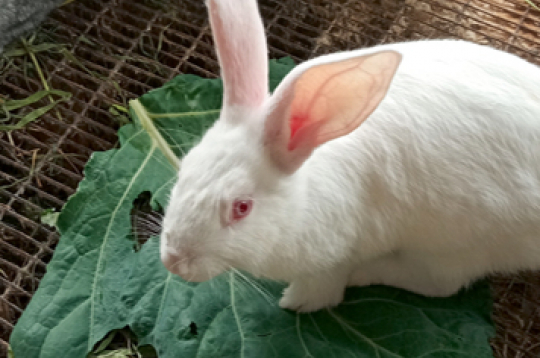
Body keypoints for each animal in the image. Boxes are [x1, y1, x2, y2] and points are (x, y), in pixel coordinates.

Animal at [160, 0, 540, 312]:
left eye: (241, 207)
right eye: (183, 170)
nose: (173, 261)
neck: (304, 196)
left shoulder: (329, 260)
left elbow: (319, 294)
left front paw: (294, 303)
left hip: (459, 244)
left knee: (440, 283)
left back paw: (367, 272)